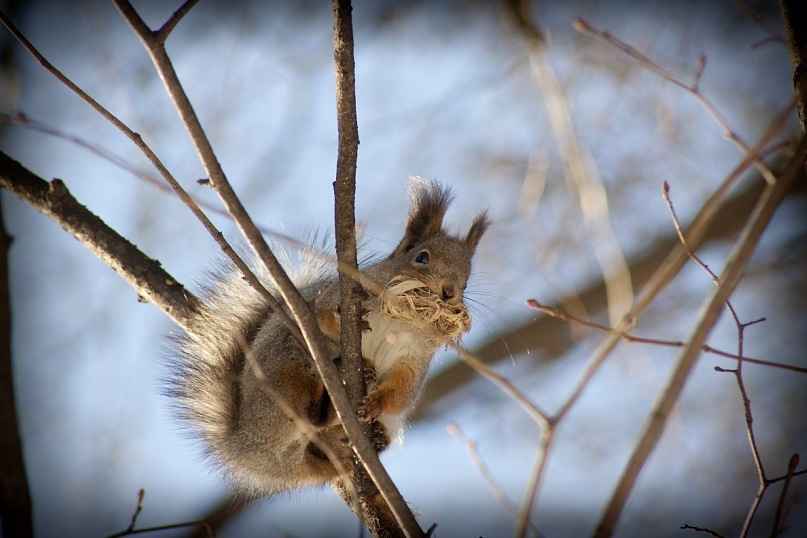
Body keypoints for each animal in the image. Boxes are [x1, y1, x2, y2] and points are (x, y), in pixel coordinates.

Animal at [171, 178, 490, 496]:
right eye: (421, 257)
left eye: (466, 280)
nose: (449, 291)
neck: (403, 320)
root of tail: (247, 447)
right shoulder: (341, 296)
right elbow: (323, 317)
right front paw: (351, 334)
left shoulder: (415, 358)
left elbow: (402, 390)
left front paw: (377, 402)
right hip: (283, 369)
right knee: (305, 409)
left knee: (319, 460)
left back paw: (366, 435)